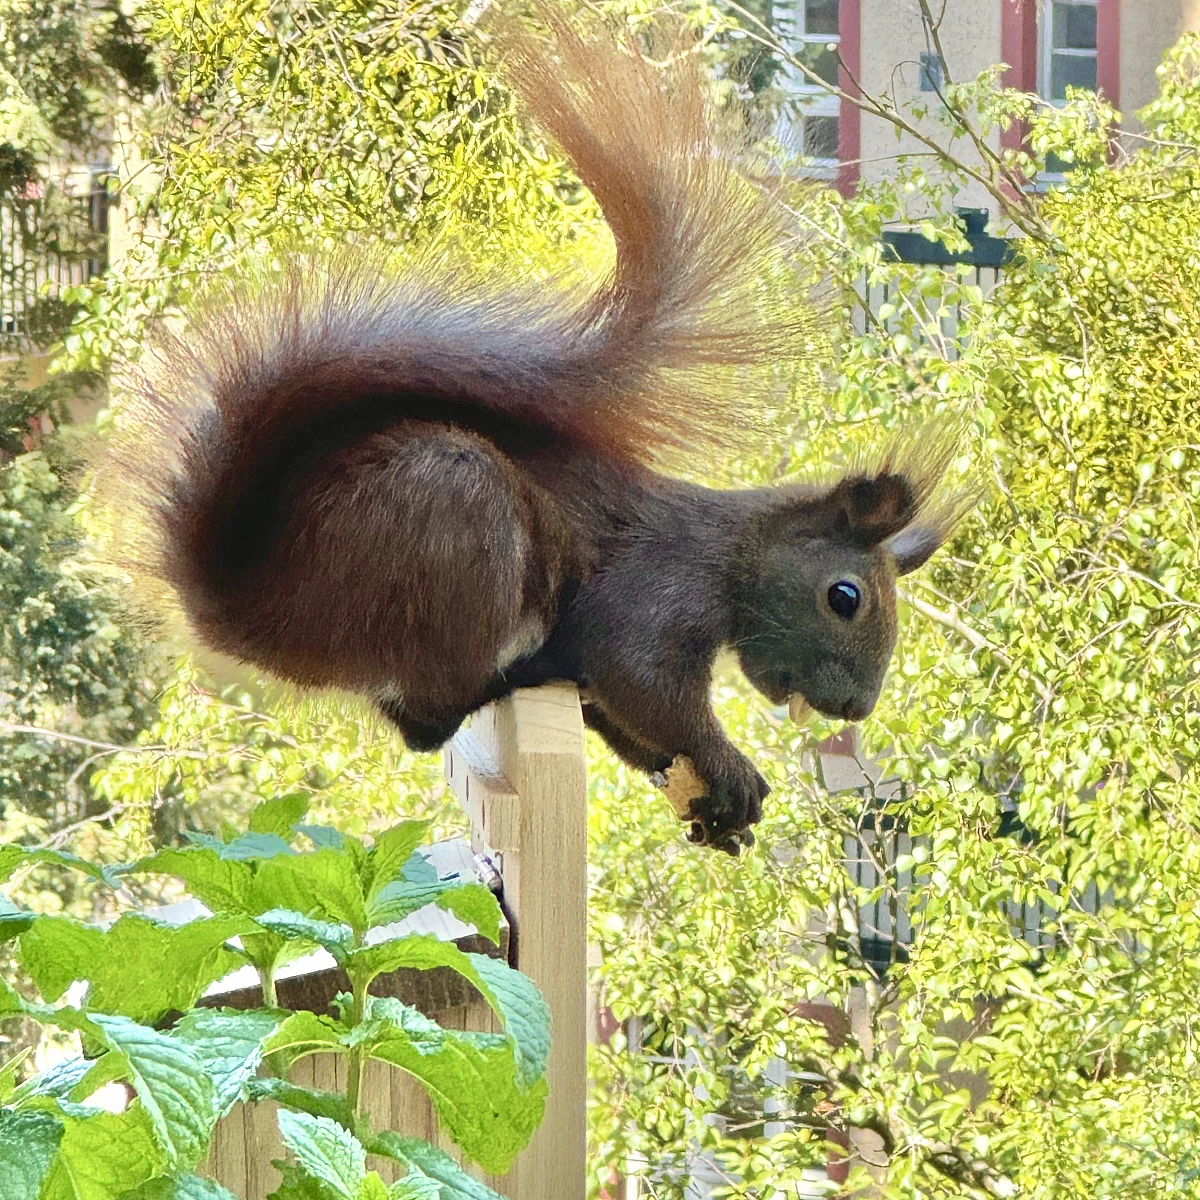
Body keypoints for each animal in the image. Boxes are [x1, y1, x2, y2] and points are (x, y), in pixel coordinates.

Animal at [100, 7, 964, 854]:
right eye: (844, 597)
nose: (855, 709)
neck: (732, 553)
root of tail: (251, 615)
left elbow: (626, 721)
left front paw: (716, 807)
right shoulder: (654, 592)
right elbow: (643, 681)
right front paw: (728, 764)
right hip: (453, 527)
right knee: (426, 718)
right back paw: (497, 680)